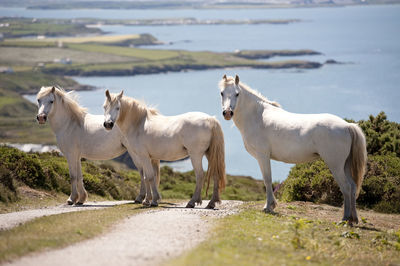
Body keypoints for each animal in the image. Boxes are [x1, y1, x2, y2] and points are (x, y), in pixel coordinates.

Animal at [220, 75, 368, 224]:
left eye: (237, 94)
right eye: (222, 93)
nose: (227, 113)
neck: (257, 115)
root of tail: (347, 125)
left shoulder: (263, 156)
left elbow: (267, 179)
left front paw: (268, 207)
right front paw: (271, 205)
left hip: (335, 165)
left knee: (346, 187)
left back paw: (344, 219)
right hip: (345, 165)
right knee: (353, 186)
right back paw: (353, 219)